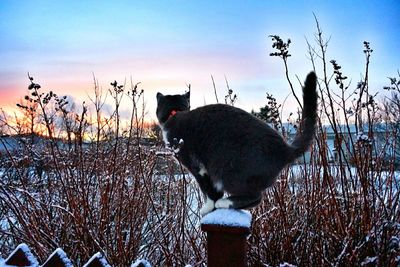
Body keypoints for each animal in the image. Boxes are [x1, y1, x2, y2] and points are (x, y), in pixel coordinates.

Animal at [155, 72, 316, 217]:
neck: (174, 114)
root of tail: (285, 149)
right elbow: (214, 191)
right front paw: (213, 205)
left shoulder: (198, 167)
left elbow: (207, 189)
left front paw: (208, 207)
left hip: (229, 171)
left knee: (256, 197)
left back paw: (224, 203)